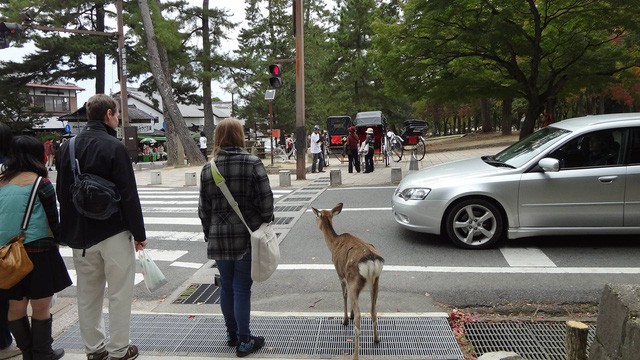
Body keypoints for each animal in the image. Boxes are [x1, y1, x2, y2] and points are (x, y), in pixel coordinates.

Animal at [312, 202, 382, 360]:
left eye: (317, 217)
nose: (316, 224)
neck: (333, 244)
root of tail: (372, 261)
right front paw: (349, 315)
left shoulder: (340, 274)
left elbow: (343, 295)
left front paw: (344, 319)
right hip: (375, 281)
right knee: (373, 310)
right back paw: (376, 339)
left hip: (353, 278)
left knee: (359, 315)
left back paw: (355, 355)